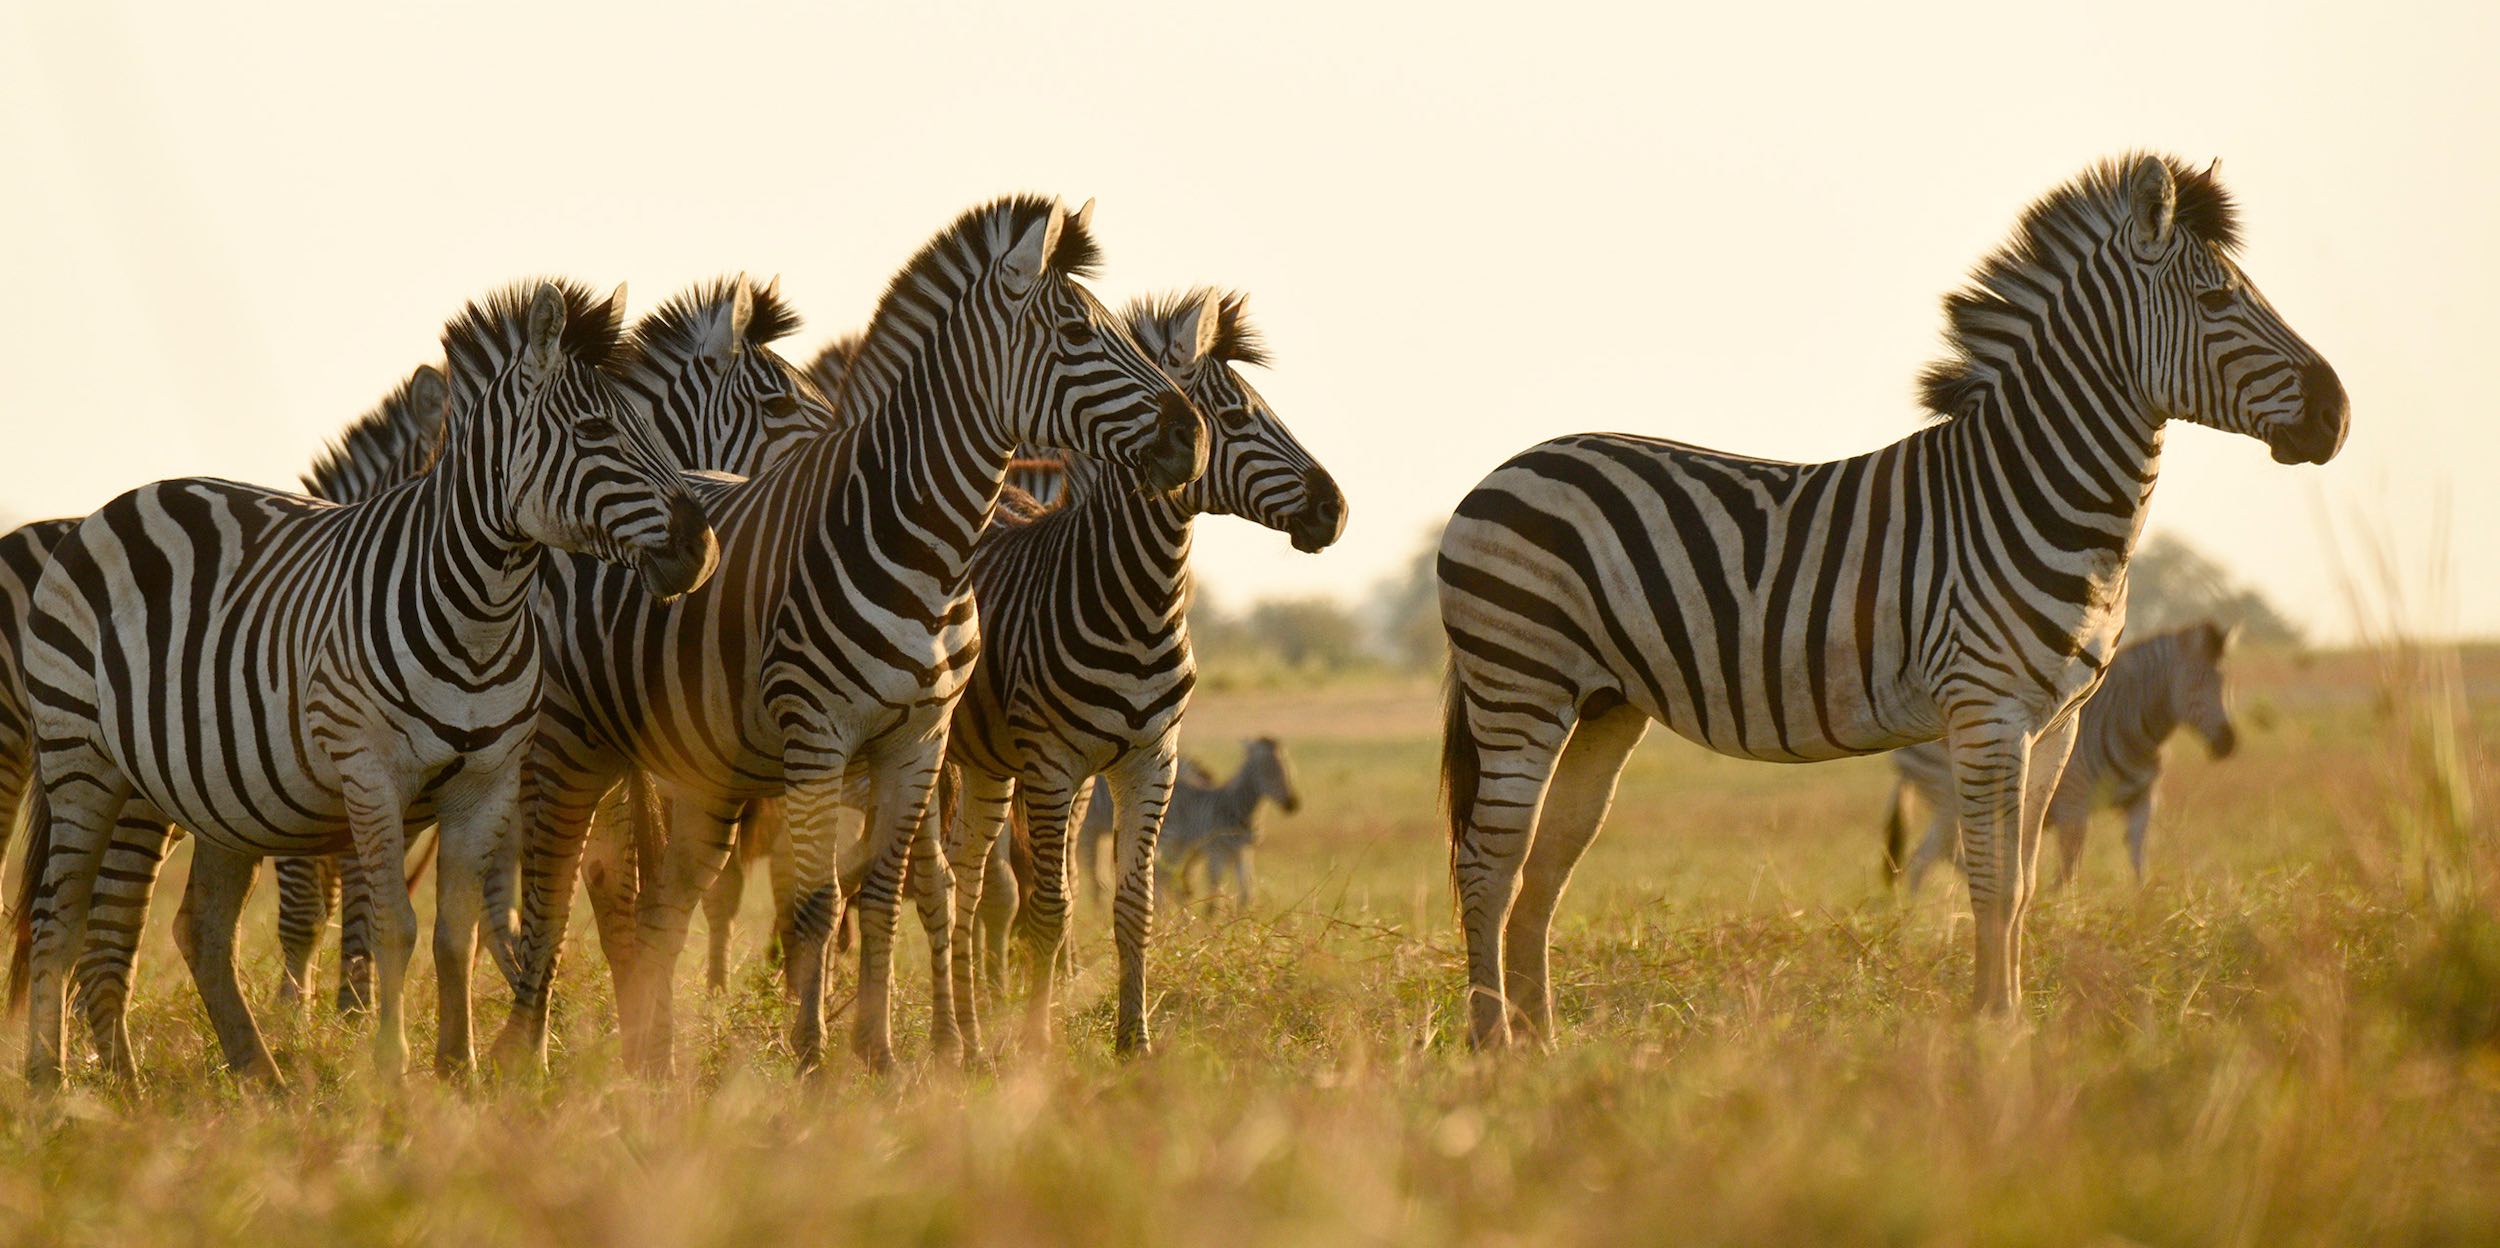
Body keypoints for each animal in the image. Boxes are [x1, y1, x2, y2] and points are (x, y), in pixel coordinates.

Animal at [15, 280, 718, 1086]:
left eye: (647, 426)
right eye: (596, 429)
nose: (701, 545)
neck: (482, 613)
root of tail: (120, 501)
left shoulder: (487, 781)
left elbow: (454, 933)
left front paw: (458, 1069)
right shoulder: (372, 771)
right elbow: (394, 927)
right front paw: (392, 1073)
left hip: (219, 790)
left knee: (199, 927)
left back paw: (257, 1078)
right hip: (83, 758)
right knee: (62, 918)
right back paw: (56, 1084)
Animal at [489, 197, 1210, 1076]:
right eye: (1077, 333)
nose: (1192, 436)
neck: (927, 545)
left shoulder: (918, 742)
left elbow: (880, 893)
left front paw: (881, 1054)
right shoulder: (819, 735)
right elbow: (815, 901)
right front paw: (812, 1058)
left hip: (695, 768)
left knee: (664, 896)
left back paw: (652, 1064)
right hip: (567, 740)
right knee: (556, 882)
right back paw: (528, 1056)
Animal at [1886, 620, 2239, 892]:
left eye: (2225, 681)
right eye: (2198, 682)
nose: (2228, 743)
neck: (2133, 727)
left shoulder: (2143, 802)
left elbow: (2139, 862)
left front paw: (2143, 906)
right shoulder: (2073, 806)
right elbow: (2071, 869)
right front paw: (2066, 911)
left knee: (1925, 857)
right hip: (1949, 794)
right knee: (1944, 851)